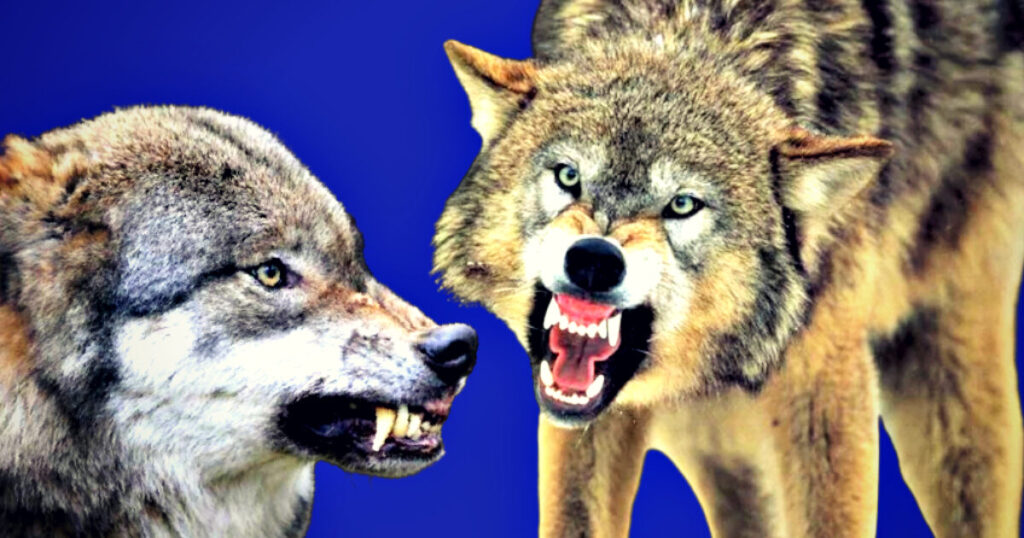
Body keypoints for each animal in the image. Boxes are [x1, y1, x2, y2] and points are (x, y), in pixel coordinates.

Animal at [434, 0, 1024, 536]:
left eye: (682, 205)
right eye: (567, 176)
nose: (594, 260)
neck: (691, 26)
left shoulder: (826, 383)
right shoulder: (588, 418)